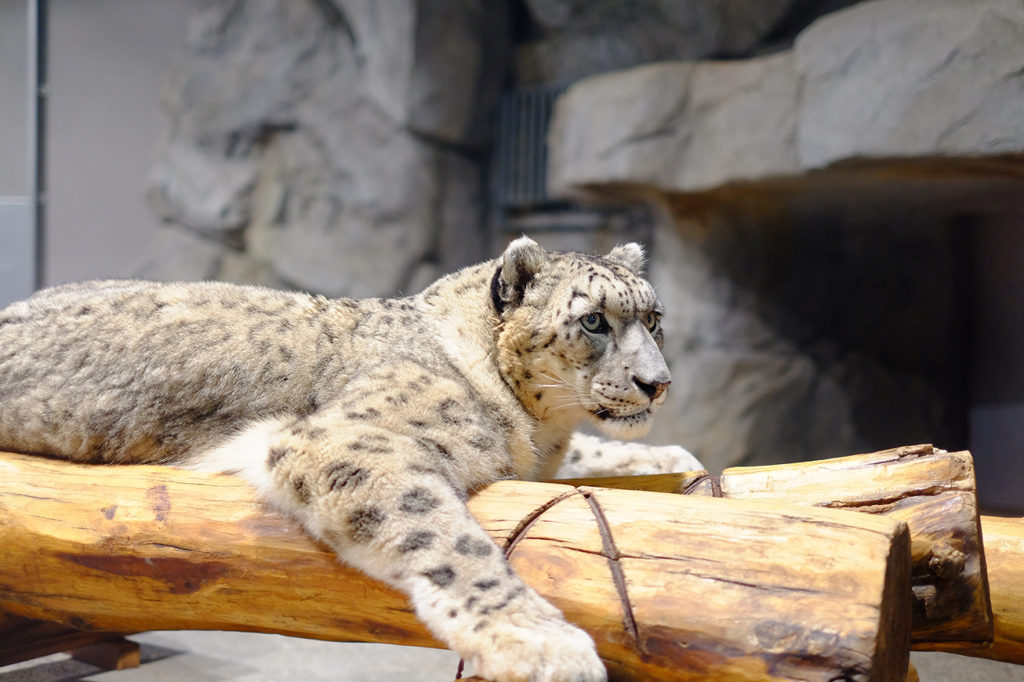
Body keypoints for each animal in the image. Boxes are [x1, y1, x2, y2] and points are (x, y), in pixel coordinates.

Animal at [0, 236, 698, 682]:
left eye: (654, 317)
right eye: (594, 321)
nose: (658, 384)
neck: (537, 429)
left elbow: (591, 449)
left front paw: (676, 454)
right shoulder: (358, 439)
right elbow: (452, 542)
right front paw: (541, 643)